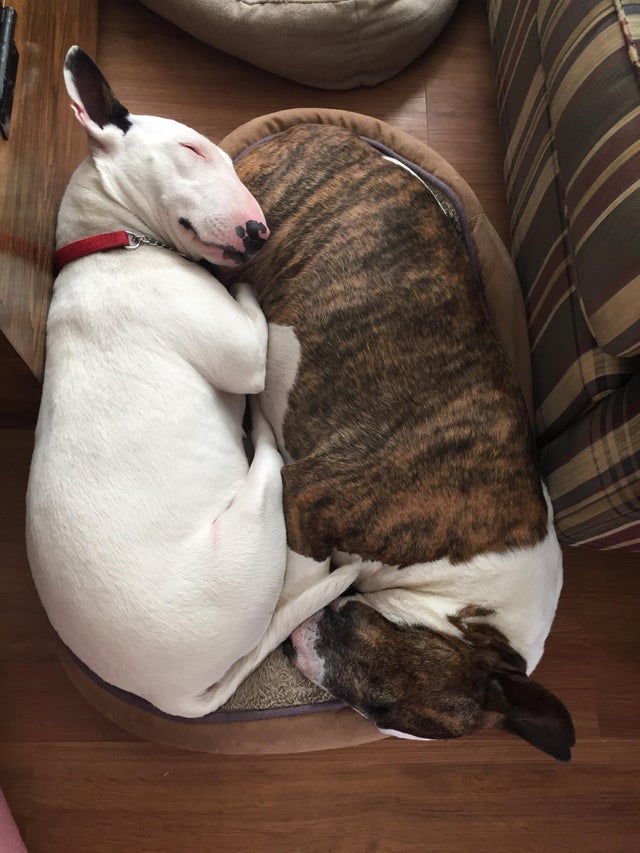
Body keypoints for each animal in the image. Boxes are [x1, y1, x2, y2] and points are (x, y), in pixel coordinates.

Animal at [24, 45, 284, 712]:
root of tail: (171, 696)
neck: (114, 246)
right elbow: (248, 310)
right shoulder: (245, 350)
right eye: (192, 150)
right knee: (268, 456)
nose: (260, 233)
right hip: (252, 518)